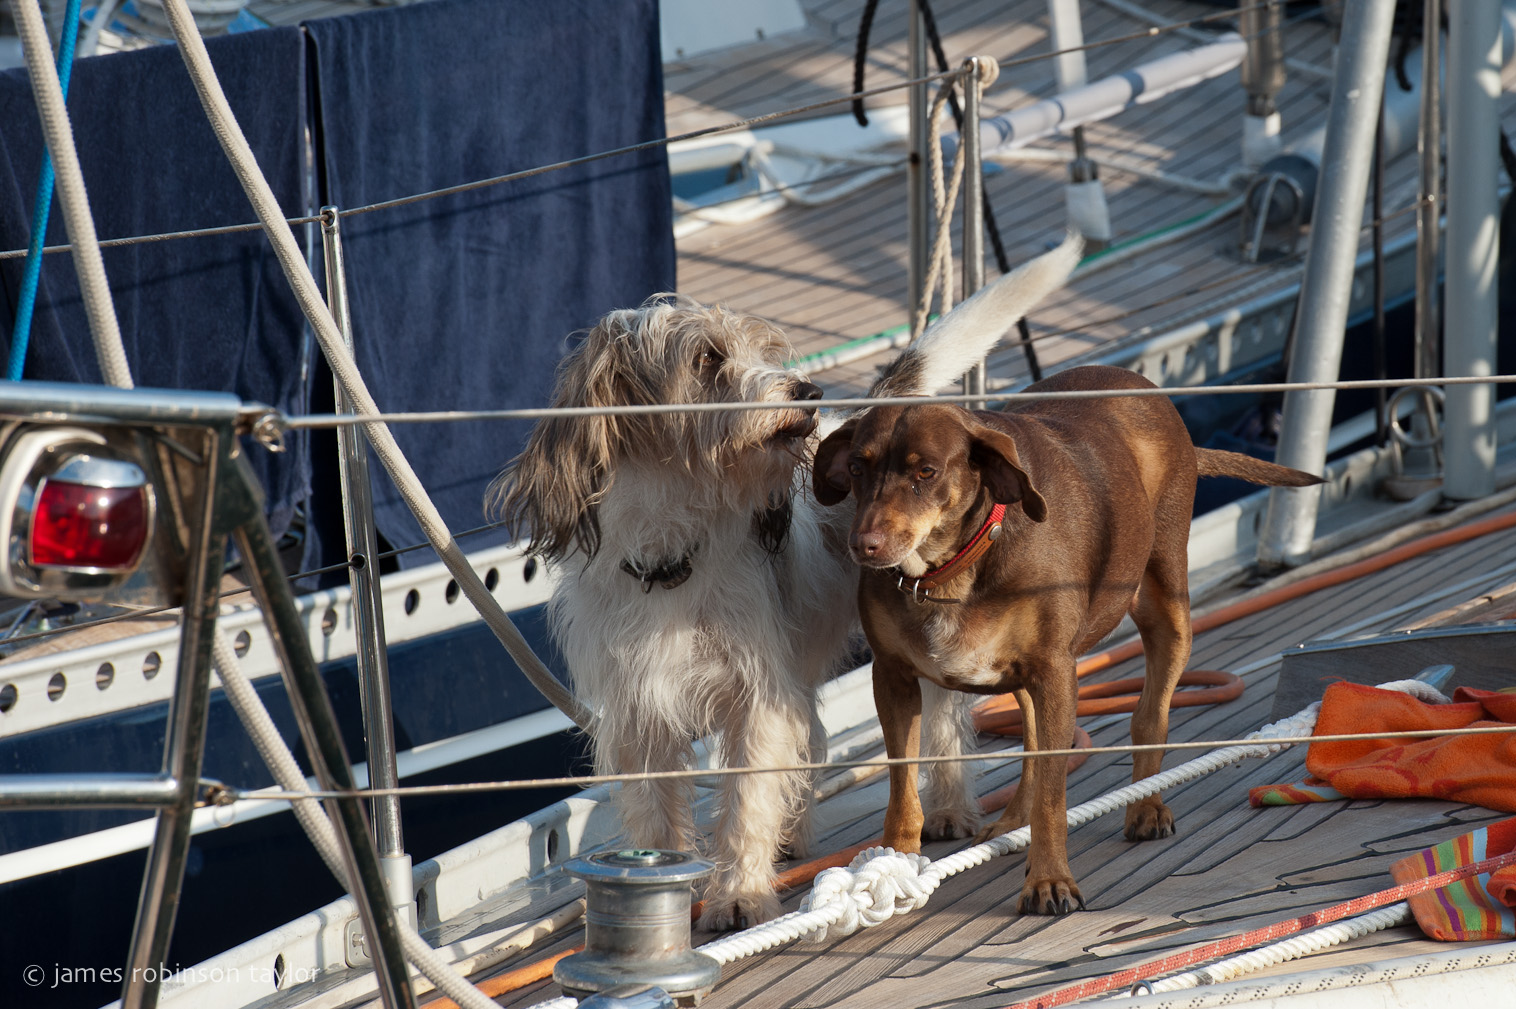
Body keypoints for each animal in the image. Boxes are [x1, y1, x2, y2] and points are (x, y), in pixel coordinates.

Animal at [812, 363, 1321, 909]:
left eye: (925, 472)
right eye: (858, 468)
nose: (863, 544)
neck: (950, 570)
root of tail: (1142, 387)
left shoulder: (1056, 673)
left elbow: (1054, 797)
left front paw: (1049, 880)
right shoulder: (894, 678)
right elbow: (903, 787)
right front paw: (896, 864)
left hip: (1167, 608)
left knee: (1149, 716)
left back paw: (1145, 805)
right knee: (1034, 746)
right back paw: (1011, 825)